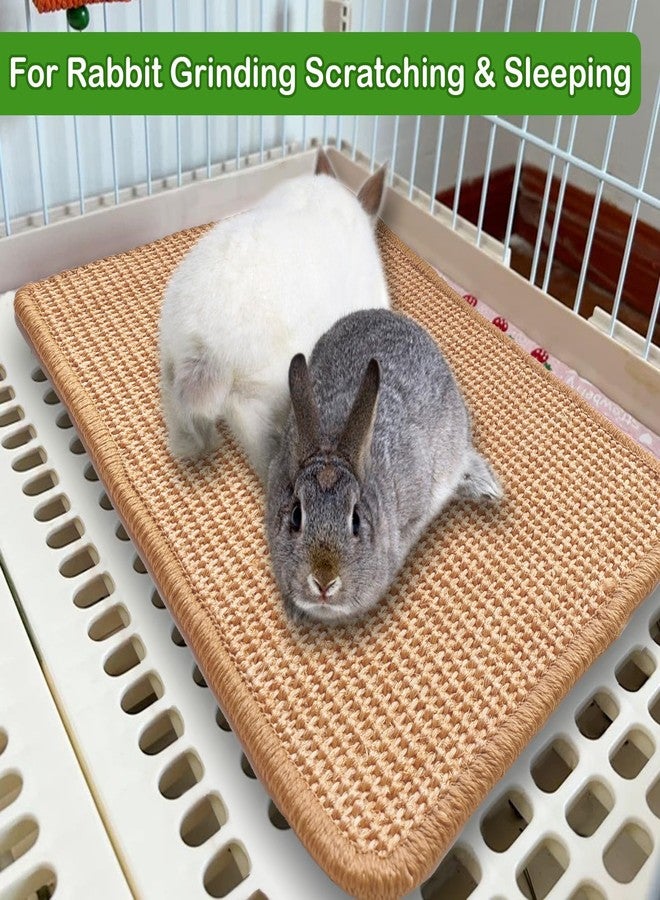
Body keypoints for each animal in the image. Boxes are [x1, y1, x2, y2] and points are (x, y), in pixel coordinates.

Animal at [266, 308, 503, 624]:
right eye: (295, 516)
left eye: (355, 520)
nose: (324, 583)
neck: (334, 446)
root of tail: (387, 314)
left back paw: (488, 489)